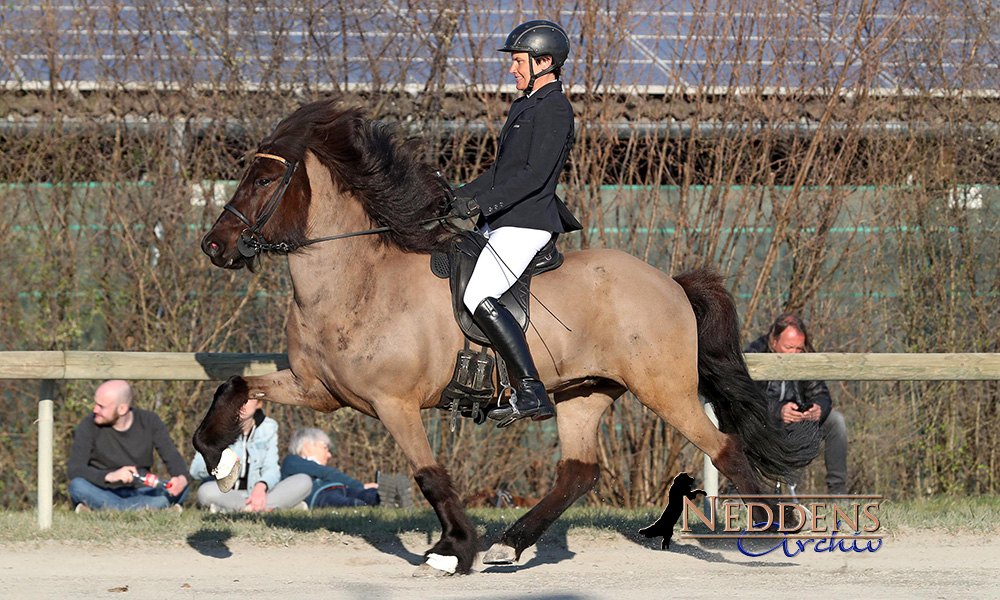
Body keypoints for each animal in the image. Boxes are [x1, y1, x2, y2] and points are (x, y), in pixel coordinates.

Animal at [193, 98, 812, 576]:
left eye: (264, 179)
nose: (214, 247)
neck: (356, 280)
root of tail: (671, 282)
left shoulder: (395, 404)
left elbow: (429, 476)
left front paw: (453, 550)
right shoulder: (319, 389)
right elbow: (237, 385)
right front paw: (218, 459)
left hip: (664, 389)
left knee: (723, 446)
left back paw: (775, 528)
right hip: (583, 392)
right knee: (578, 472)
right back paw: (511, 545)